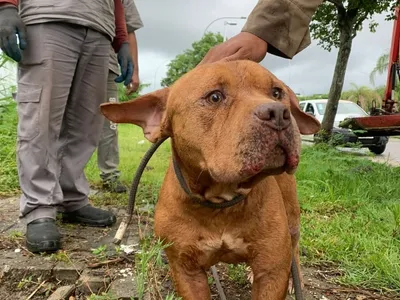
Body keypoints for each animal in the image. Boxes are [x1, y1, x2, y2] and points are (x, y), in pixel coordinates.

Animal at [101, 59, 320, 298]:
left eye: (277, 92)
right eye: (215, 97)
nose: (278, 113)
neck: (221, 201)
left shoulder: (272, 272)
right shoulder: (186, 271)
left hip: (292, 219)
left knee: (294, 248)